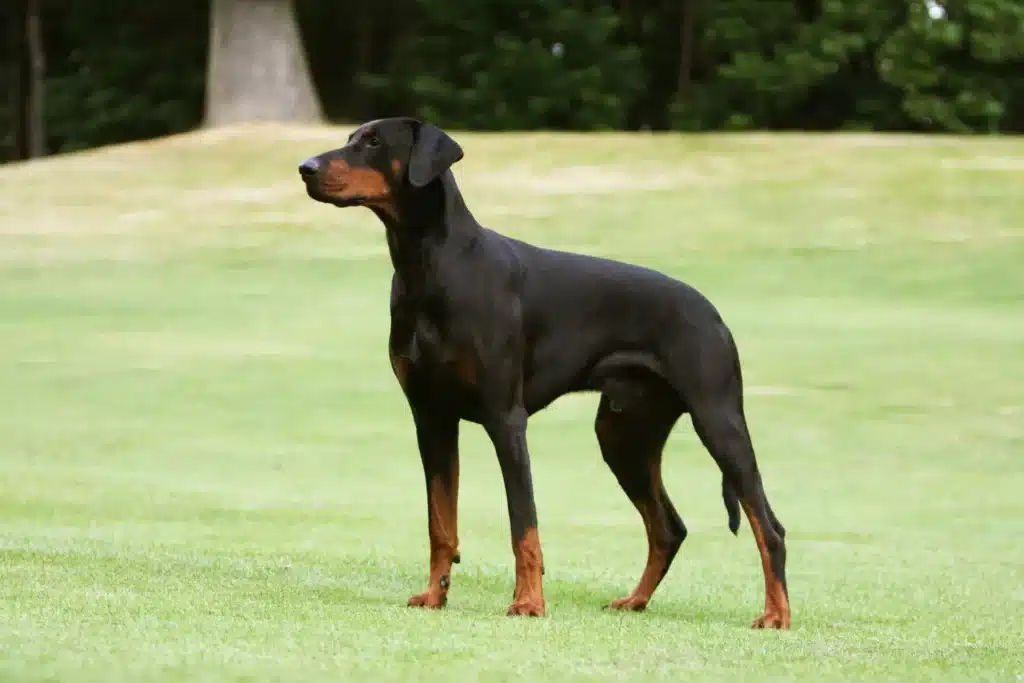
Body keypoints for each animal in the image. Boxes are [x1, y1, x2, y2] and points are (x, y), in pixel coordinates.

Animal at [296, 117, 790, 630]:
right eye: (351, 138)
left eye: (374, 142)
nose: (305, 168)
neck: (431, 266)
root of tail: (713, 312)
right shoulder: (431, 419)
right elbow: (441, 522)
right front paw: (435, 594)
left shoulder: (505, 419)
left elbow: (523, 522)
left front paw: (529, 602)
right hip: (623, 434)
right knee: (668, 528)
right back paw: (634, 601)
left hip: (717, 420)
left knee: (769, 527)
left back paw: (775, 614)